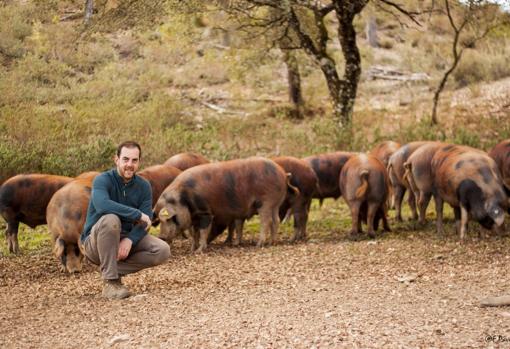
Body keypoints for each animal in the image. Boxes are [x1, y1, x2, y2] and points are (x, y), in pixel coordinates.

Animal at [154, 156, 290, 251]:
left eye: (169, 218)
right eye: (160, 220)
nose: (161, 237)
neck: (184, 199)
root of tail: (282, 173)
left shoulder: (205, 212)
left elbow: (203, 231)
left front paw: (199, 250)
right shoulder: (194, 216)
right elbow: (194, 233)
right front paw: (192, 249)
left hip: (266, 202)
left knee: (267, 221)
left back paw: (259, 244)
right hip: (275, 204)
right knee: (276, 220)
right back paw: (272, 242)